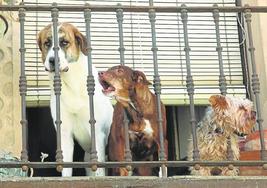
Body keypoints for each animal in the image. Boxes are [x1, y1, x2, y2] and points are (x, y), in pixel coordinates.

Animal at [37, 23, 113, 176]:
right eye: (47, 43)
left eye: (64, 42)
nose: (53, 60)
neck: (70, 83)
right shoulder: (65, 134)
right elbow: (66, 168)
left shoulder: (98, 134)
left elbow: (99, 170)